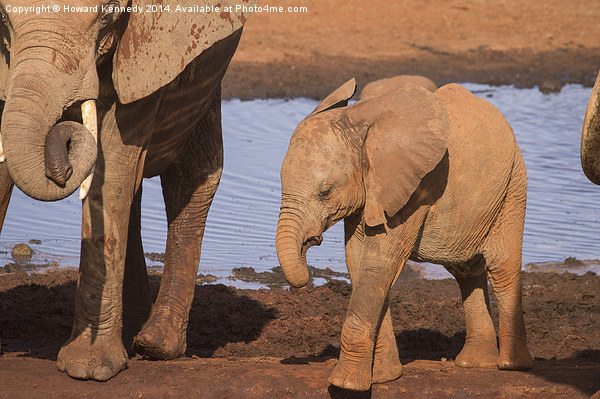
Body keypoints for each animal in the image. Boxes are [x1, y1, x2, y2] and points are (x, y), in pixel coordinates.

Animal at [0, 0, 255, 382]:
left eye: (108, 14)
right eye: (3, 18)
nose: (63, 163)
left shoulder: (145, 60)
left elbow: (113, 167)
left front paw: (87, 369)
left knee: (192, 175)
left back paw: (156, 343)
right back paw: (135, 327)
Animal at [274, 79, 532, 390]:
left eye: (325, 192)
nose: (311, 240)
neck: (360, 121)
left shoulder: (413, 188)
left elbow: (378, 264)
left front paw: (345, 384)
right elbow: (359, 262)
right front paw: (384, 377)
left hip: (513, 184)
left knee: (502, 266)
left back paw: (512, 365)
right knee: (466, 270)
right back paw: (473, 363)